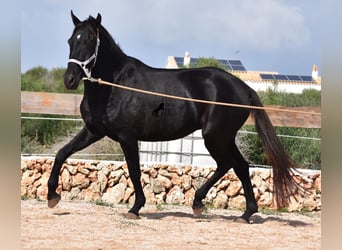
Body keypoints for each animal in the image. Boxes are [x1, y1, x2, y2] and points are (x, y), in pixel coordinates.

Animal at [46, 11, 298, 223]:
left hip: (216, 136)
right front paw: (52, 196)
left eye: (89, 41)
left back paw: (213, 206)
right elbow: (62, 153)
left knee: (230, 165)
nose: (69, 79)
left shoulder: (127, 137)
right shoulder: (94, 131)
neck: (114, 85)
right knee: (238, 166)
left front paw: (135, 208)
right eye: (71, 41)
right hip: (223, 137)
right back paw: (238, 212)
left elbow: (134, 170)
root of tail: (245, 88)